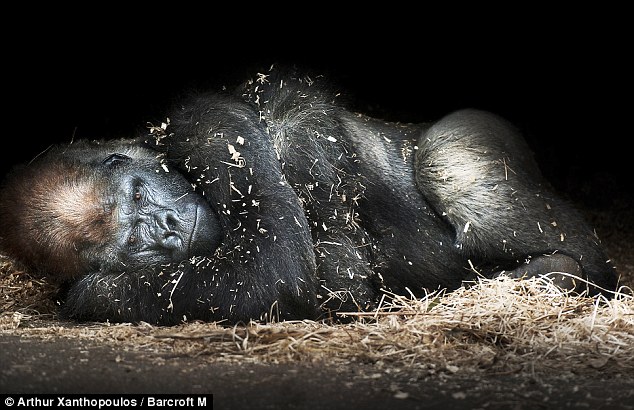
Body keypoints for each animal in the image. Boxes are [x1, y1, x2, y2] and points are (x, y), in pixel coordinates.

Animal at [0, 65, 616, 326]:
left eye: (138, 191)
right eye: (133, 241)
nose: (168, 228)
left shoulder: (206, 125)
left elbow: (273, 264)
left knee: (448, 156)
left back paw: (569, 272)